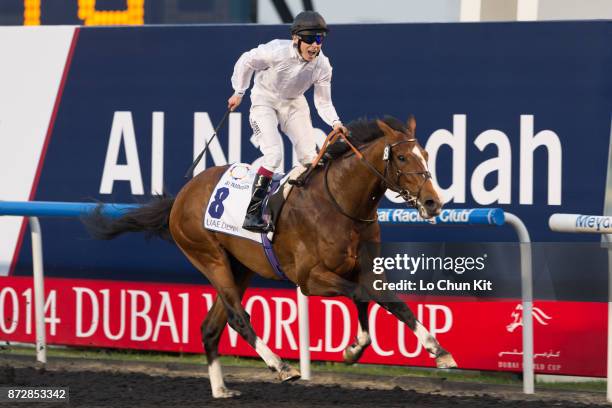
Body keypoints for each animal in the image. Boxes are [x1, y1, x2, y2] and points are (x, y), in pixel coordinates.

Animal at [87, 115, 460, 398]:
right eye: (402, 158)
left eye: (427, 154)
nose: (432, 202)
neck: (342, 203)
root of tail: (181, 196)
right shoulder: (311, 279)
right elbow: (363, 295)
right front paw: (356, 348)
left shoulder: (365, 269)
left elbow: (387, 301)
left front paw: (436, 351)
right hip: (209, 258)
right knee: (238, 317)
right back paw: (281, 367)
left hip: (239, 268)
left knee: (211, 326)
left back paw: (221, 390)